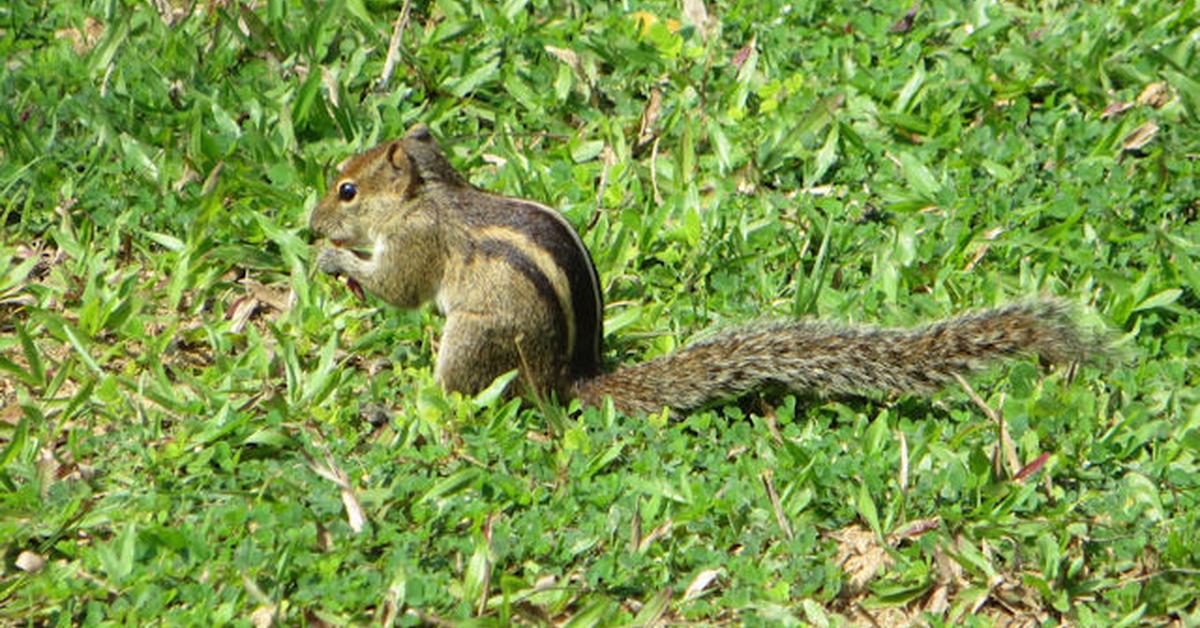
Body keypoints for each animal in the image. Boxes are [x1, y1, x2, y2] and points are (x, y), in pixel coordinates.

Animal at [307, 124, 1099, 415]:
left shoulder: (419, 245)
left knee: (462, 392)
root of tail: (569, 376)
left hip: (475, 338)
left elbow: (397, 289)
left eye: (347, 189)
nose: (311, 221)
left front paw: (333, 256)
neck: (432, 193)